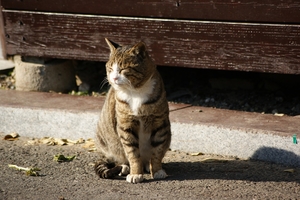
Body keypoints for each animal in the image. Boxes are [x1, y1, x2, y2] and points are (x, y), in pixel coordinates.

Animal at [94, 38, 171, 184]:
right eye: (110, 68)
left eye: (123, 69)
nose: (114, 78)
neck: (135, 92)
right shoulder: (126, 125)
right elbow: (133, 154)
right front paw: (136, 173)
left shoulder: (159, 124)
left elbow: (157, 151)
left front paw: (157, 170)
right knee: (120, 156)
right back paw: (124, 167)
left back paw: (147, 165)